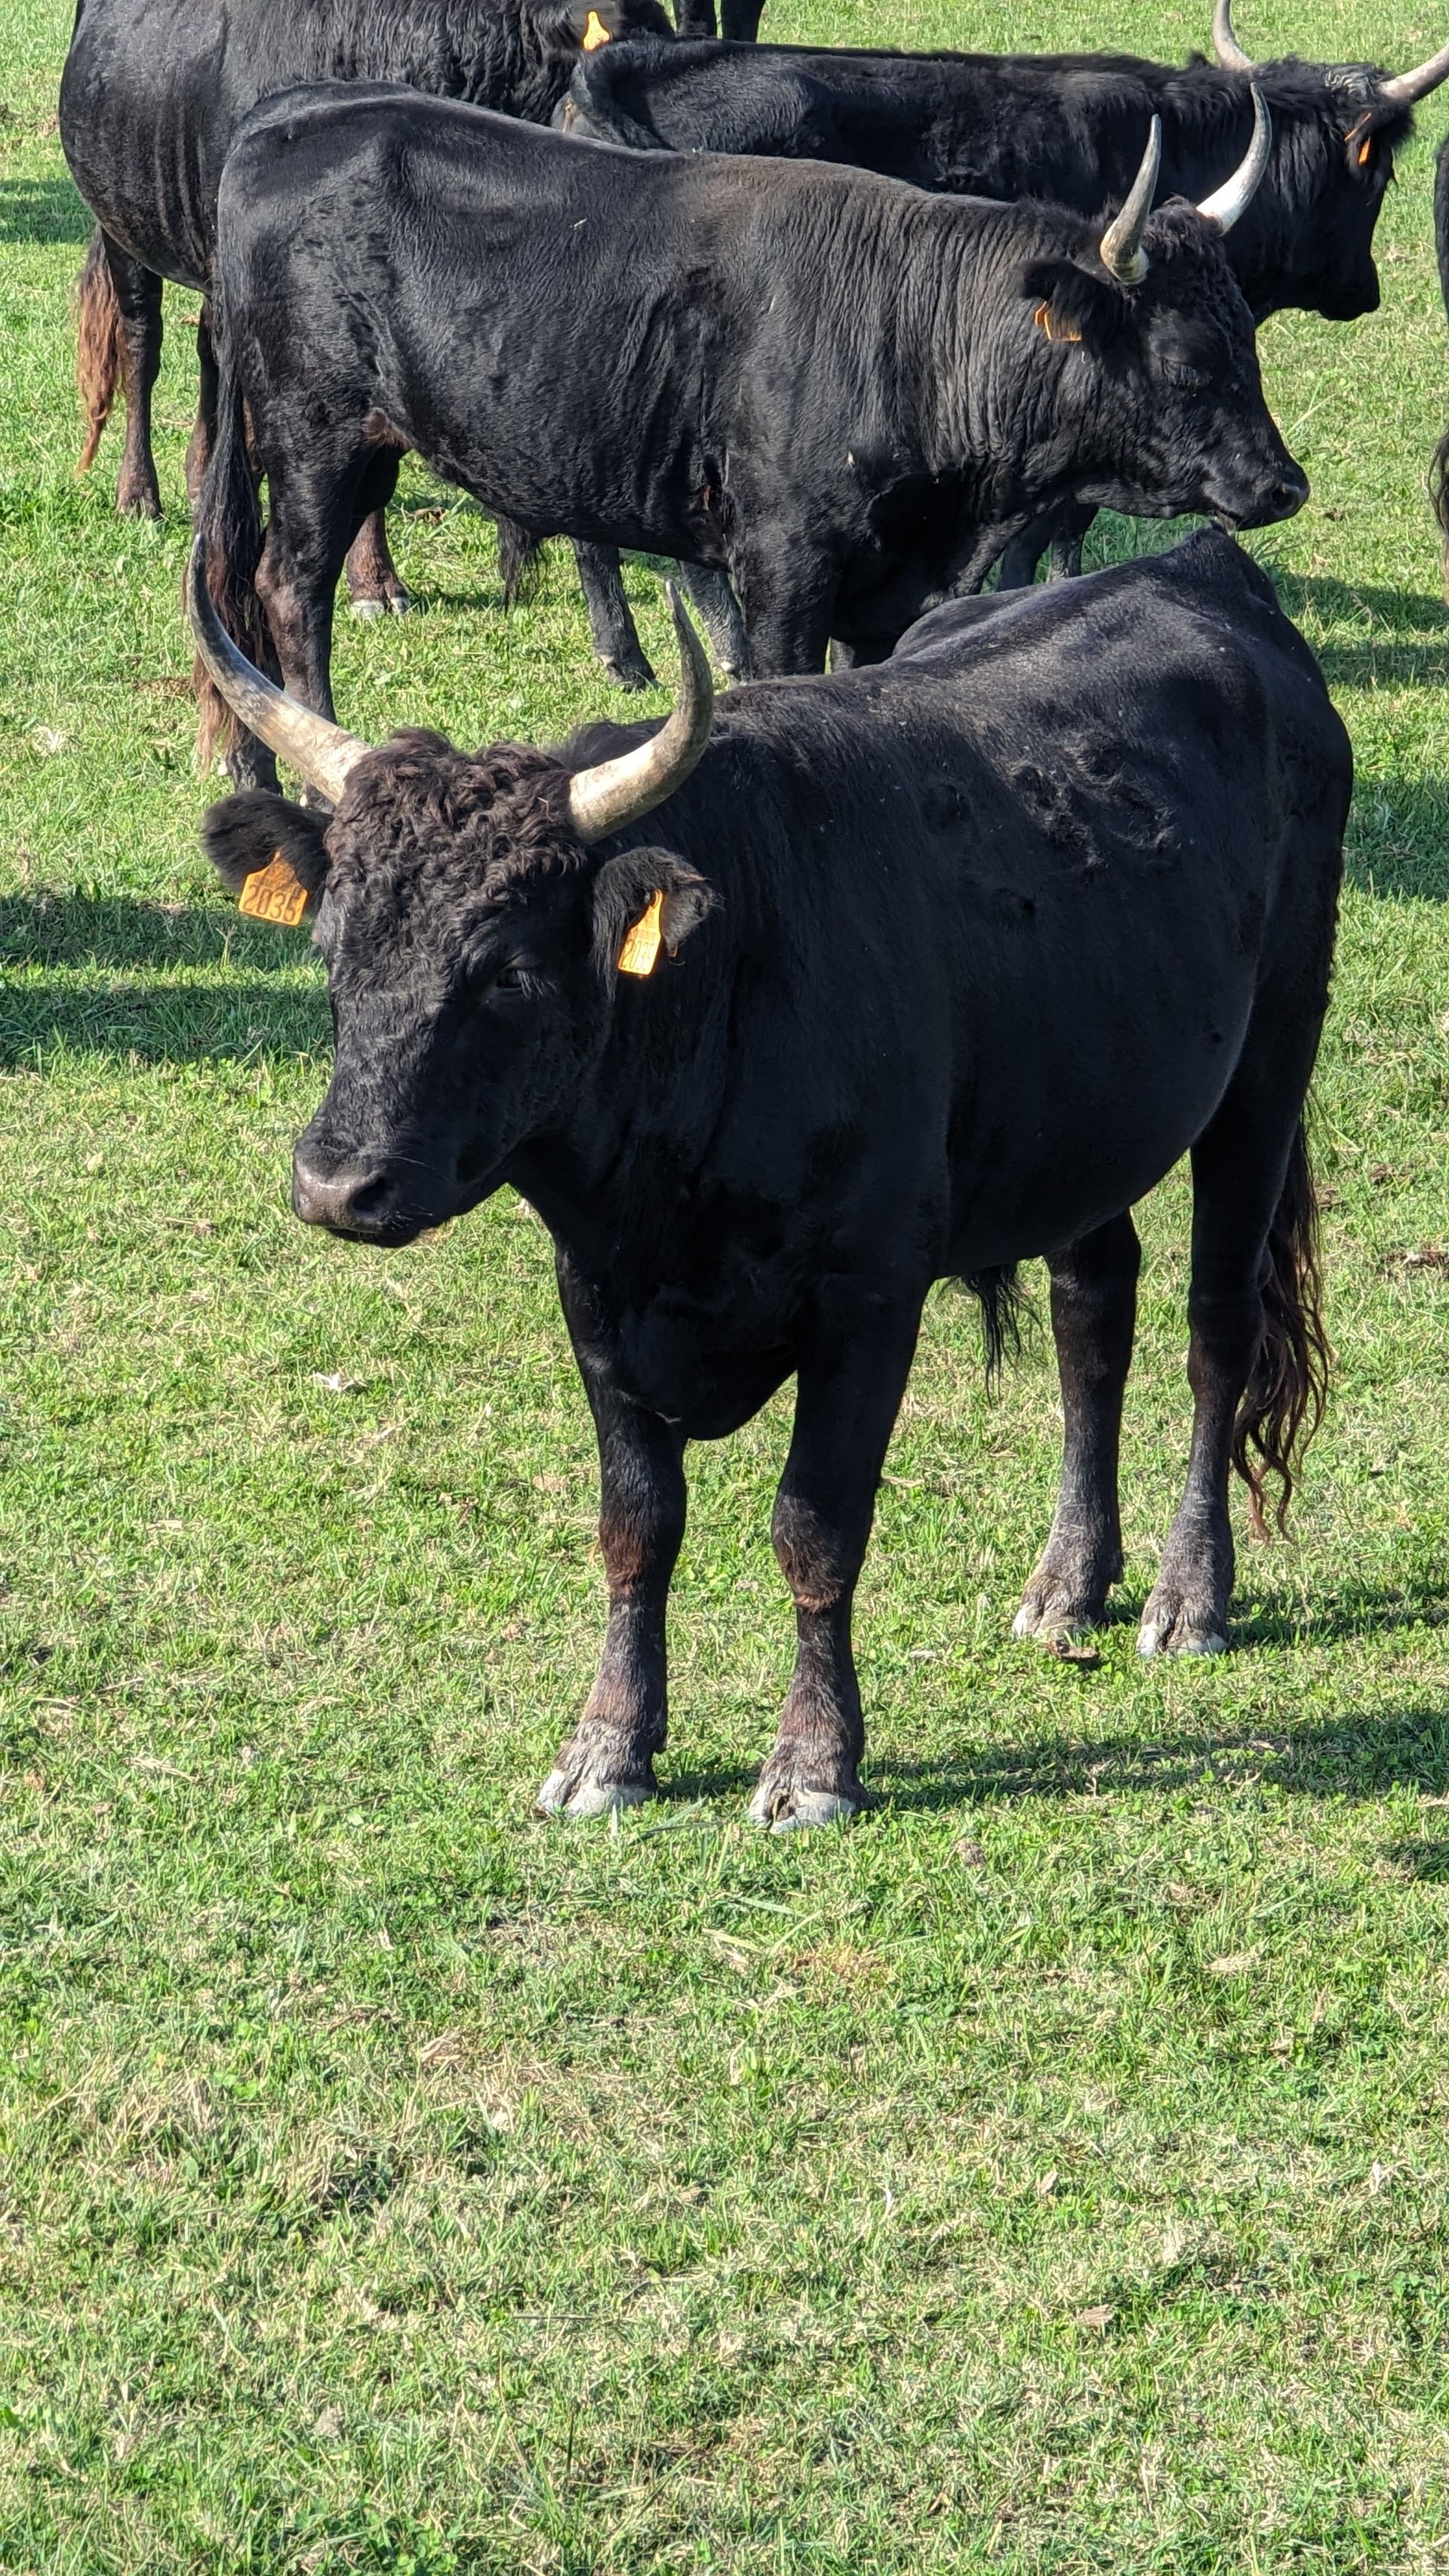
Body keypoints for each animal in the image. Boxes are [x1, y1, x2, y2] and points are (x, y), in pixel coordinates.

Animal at [58, 0, 677, 672]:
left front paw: (375, 579)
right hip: (124, 224)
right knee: (142, 344)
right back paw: (138, 494)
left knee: (211, 357)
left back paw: (203, 475)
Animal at [189, 526, 1348, 1826]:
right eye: (331, 944)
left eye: (509, 972)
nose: (338, 1184)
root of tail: (1197, 566)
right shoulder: (595, 1299)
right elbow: (637, 1526)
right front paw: (607, 1748)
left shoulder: (868, 1299)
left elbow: (816, 1527)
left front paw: (813, 1761)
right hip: (1083, 1117)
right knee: (1093, 1312)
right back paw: (1068, 1580)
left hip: (1267, 1067)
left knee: (1217, 1328)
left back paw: (1188, 1596)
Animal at [194, 83, 1306, 792]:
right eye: (1187, 363)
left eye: (1248, 338)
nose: (1282, 484)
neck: (909, 336)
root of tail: (290, 116)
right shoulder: (783, 571)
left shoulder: (886, 586)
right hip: (314, 437)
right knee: (287, 589)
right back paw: (315, 772)